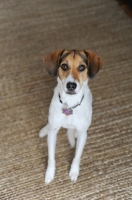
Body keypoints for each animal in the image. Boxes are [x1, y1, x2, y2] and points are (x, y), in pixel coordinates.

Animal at [38, 49, 102, 184]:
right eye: (64, 66)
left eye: (82, 67)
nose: (71, 85)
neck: (70, 105)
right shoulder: (53, 134)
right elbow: (51, 157)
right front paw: (49, 174)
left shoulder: (83, 135)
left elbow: (77, 157)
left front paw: (74, 172)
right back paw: (44, 130)